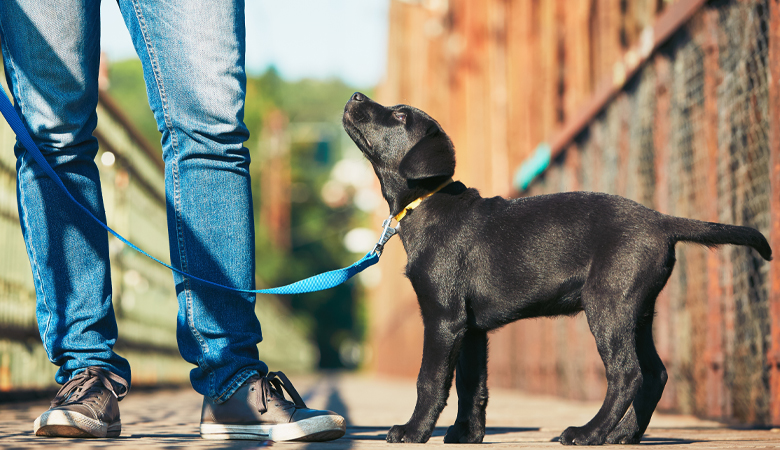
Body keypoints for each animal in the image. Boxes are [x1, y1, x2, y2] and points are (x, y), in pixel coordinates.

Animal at [342, 90, 772, 442]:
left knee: (626, 373)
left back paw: (588, 433)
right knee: (654, 374)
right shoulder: (471, 328)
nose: (355, 95)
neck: (427, 202)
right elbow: (471, 385)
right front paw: (466, 434)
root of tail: (662, 220)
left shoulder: (443, 318)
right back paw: (622, 435)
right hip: (638, 310)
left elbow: (430, 380)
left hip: (607, 305)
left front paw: (413, 431)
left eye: (400, 115)